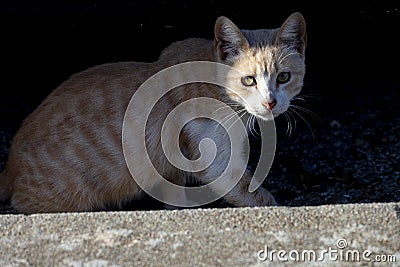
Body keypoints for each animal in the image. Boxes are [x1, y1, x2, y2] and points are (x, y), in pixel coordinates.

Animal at [0, 12, 306, 215]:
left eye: (283, 77)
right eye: (248, 80)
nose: (270, 102)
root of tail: (10, 167)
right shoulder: (219, 162)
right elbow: (252, 192)